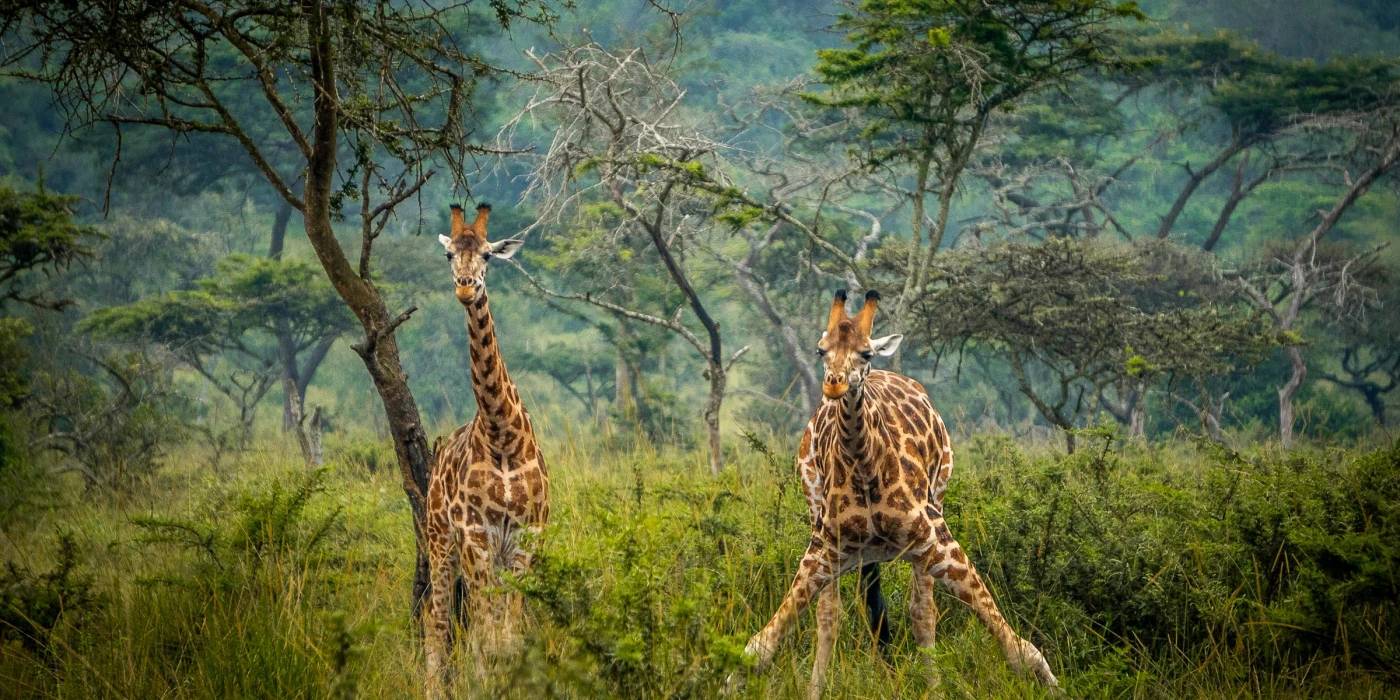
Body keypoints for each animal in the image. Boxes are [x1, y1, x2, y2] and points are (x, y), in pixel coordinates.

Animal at [420, 201, 546, 694]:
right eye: (448, 255)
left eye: (489, 255)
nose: (465, 287)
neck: (502, 436)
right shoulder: (477, 536)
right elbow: (487, 635)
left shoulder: (526, 537)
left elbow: (508, 636)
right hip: (439, 540)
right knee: (436, 619)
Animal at [739, 287, 1052, 697]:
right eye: (821, 350)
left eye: (866, 353)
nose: (834, 383)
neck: (865, 463)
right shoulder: (826, 544)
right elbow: (762, 644)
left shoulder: (934, 536)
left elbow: (1015, 646)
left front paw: (1049, 681)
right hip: (817, 513)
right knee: (831, 613)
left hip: (934, 509)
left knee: (922, 612)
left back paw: (934, 687)